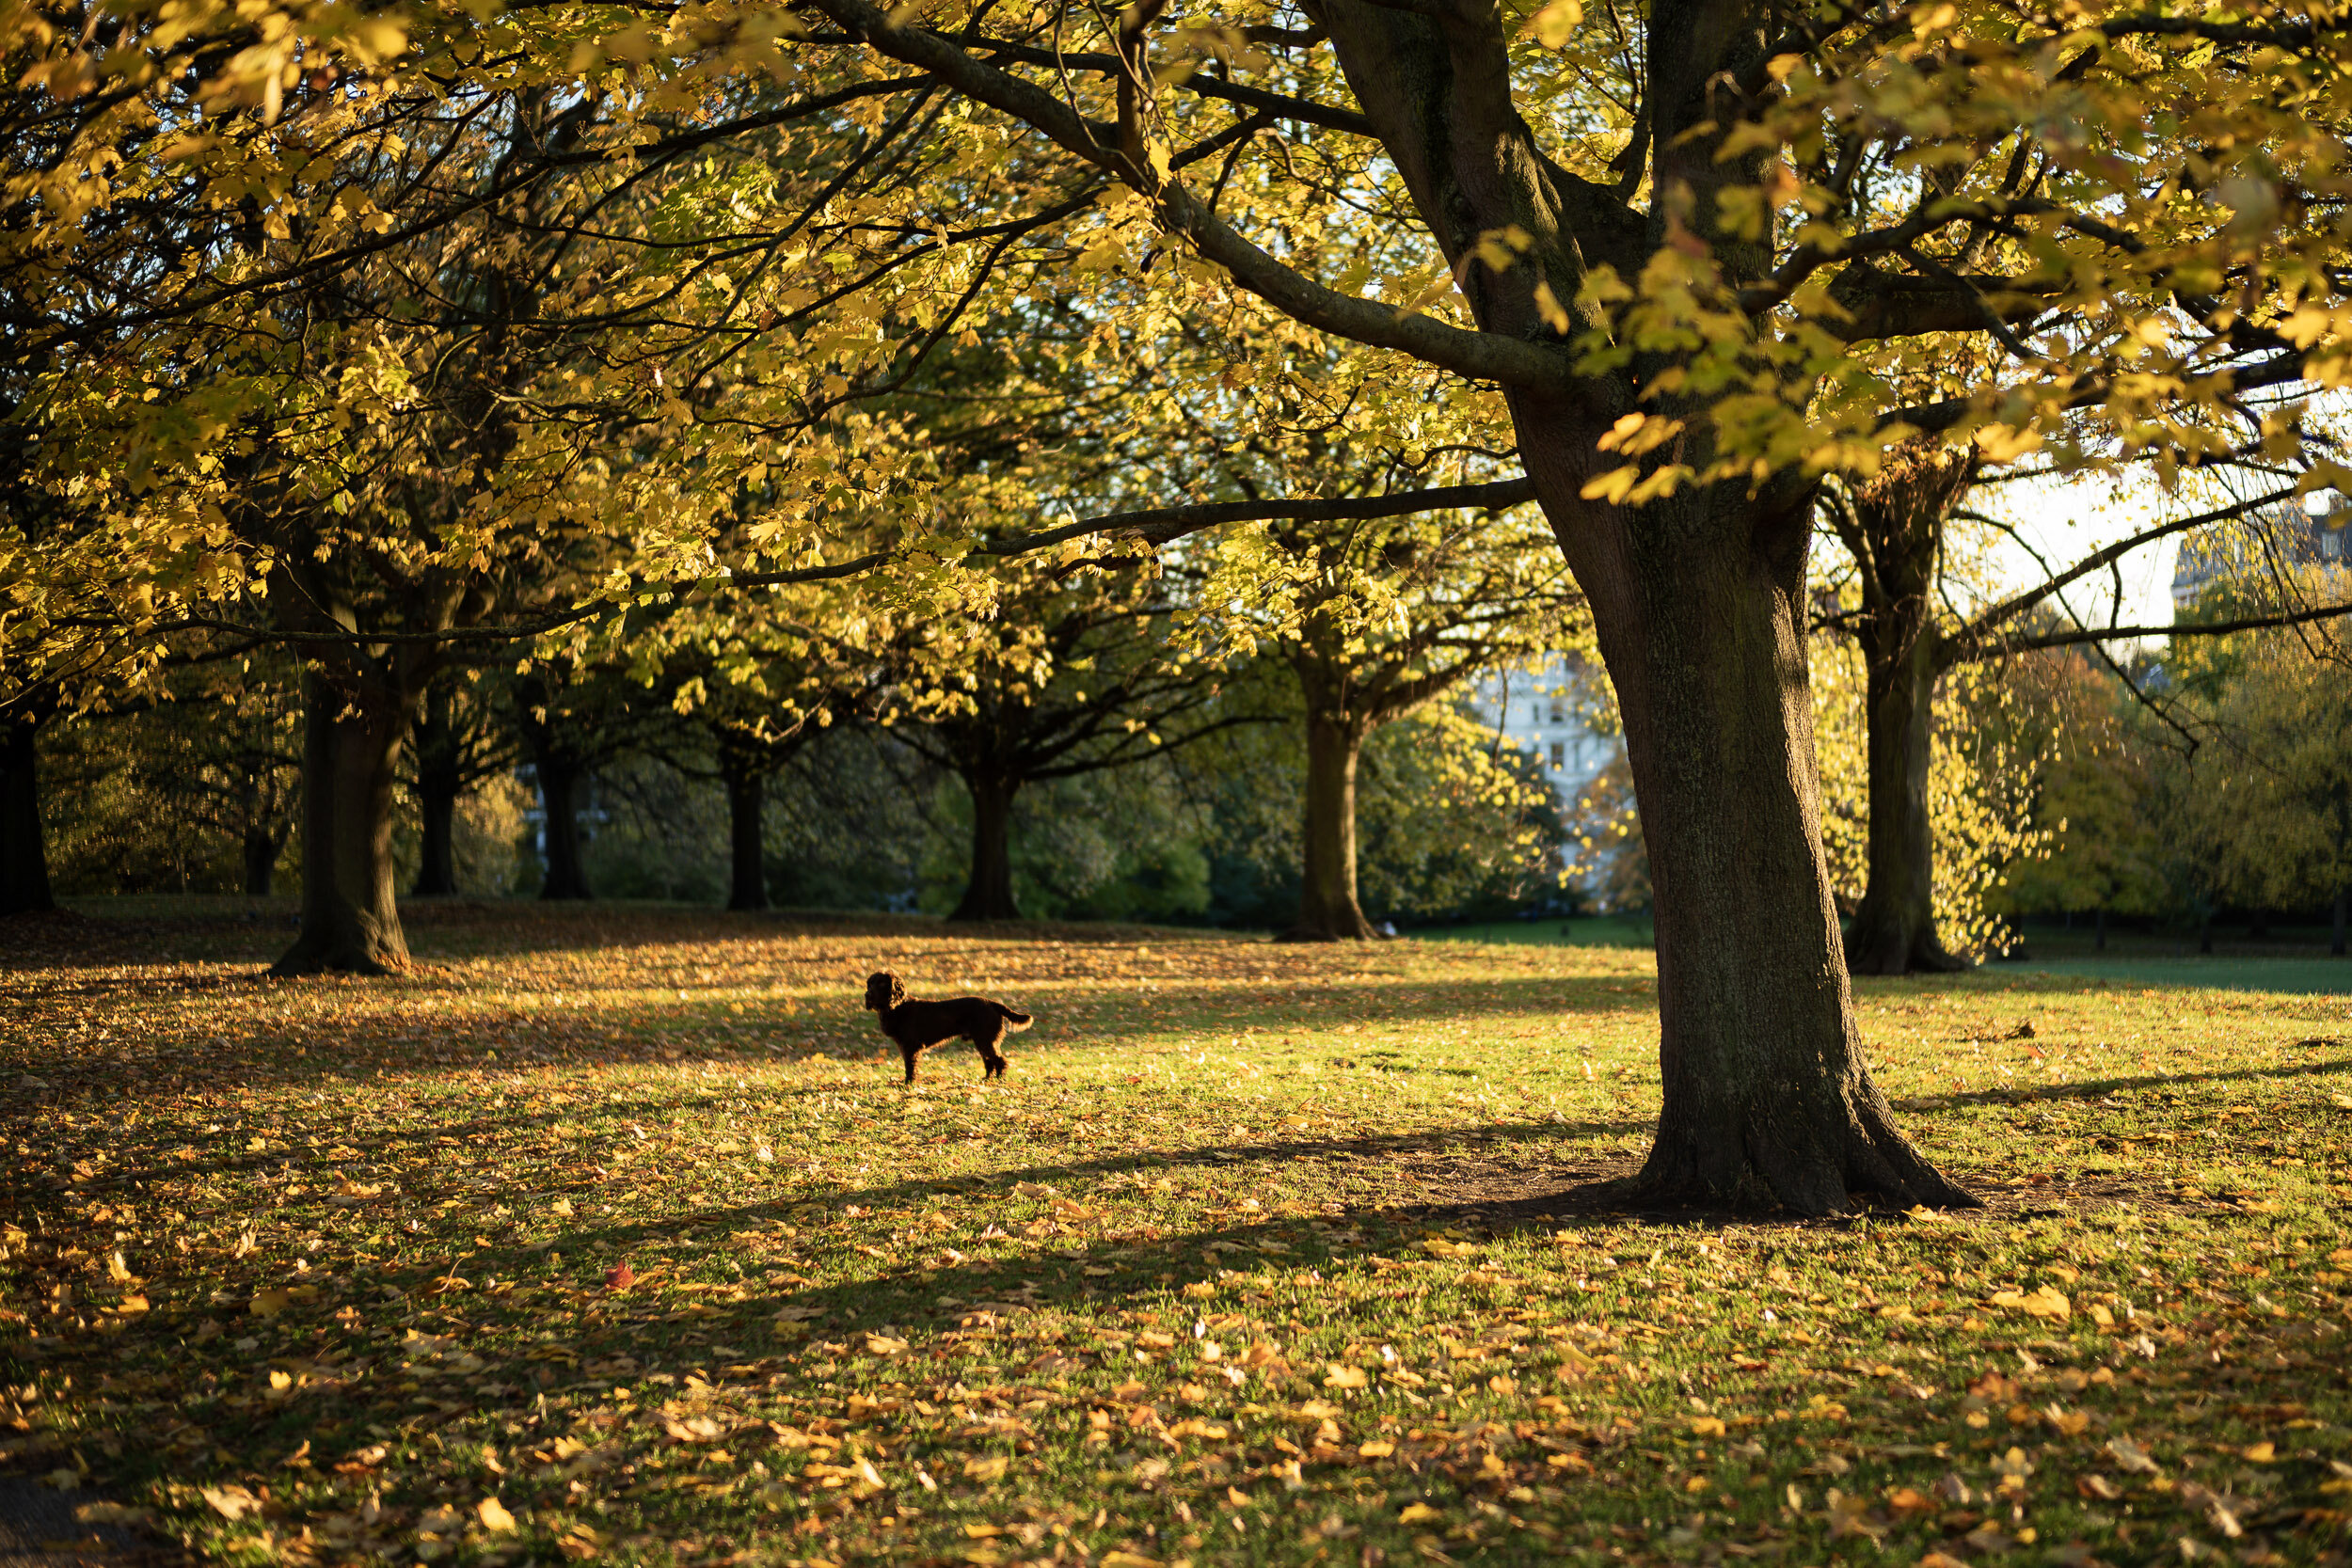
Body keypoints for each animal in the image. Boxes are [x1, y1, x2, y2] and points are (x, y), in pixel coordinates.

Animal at [866, 968, 1030, 1081]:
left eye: (881, 983)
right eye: (870, 984)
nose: (867, 995)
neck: (897, 1007)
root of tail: (992, 1003)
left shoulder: (911, 1047)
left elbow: (910, 1067)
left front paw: (909, 1083)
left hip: (985, 1040)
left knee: (1001, 1061)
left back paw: (999, 1079)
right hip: (983, 1041)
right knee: (990, 1062)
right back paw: (987, 1079)